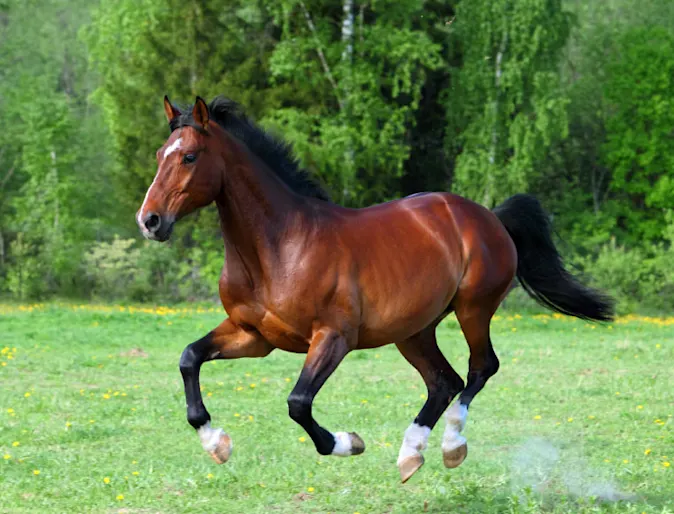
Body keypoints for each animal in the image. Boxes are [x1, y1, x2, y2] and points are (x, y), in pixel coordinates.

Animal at [136, 95, 614, 483]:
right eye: (160, 154)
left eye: (190, 156)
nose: (150, 221)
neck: (280, 247)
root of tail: (489, 217)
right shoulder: (254, 336)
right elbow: (189, 359)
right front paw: (217, 443)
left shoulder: (333, 338)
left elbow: (298, 402)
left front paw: (349, 442)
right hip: (413, 331)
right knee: (444, 381)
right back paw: (410, 456)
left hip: (473, 309)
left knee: (480, 369)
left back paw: (451, 448)